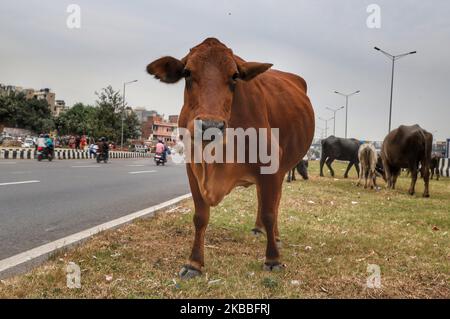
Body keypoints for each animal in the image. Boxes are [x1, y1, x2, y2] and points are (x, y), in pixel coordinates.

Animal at [146, 38, 314, 280]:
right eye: (187, 72)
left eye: (234, 76)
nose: (210, 125)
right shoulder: (192, 168)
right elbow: (200, 216)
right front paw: (194, 263)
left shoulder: (271, 167)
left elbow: (270, 212)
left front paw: (272, 259)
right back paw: (258, 229)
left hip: (281, 170)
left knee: (274, 202)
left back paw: (274, 236)